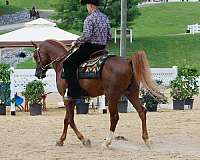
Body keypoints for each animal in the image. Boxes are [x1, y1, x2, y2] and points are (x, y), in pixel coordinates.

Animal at [32, 39, 161, 148]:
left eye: (35, 56)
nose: (37, 73)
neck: (62, 64)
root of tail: (128, 61)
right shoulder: (71, 98)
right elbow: (67, 119)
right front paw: (62, 140)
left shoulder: (67, 97)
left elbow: (69, 120)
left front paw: (82, 140)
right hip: (131, 93)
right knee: (142, 111)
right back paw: (147, 140)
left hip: (112, 96)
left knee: (114, 117)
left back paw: (107, 142)